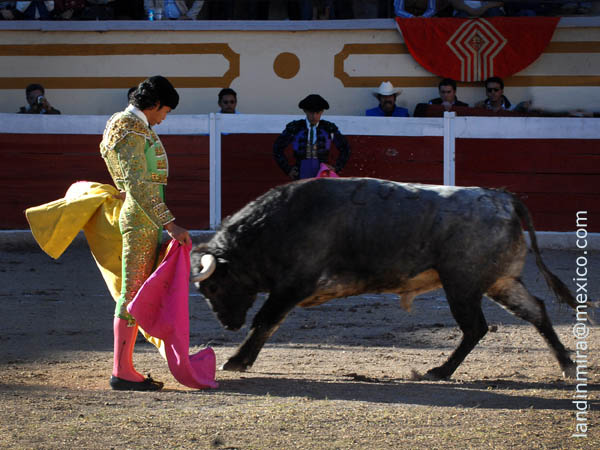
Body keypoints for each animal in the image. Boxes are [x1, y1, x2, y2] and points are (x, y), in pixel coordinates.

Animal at [192, 178, 576, 378]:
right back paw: (567, 365)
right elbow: (268, 324)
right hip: (500, 282)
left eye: (212, 285)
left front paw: (236, 360)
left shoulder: (293, 285)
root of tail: (504, 198)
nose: (227, 325)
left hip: (462, 286)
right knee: (535, 311)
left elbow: (265, 321)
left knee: (475, 327)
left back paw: (440, 371)